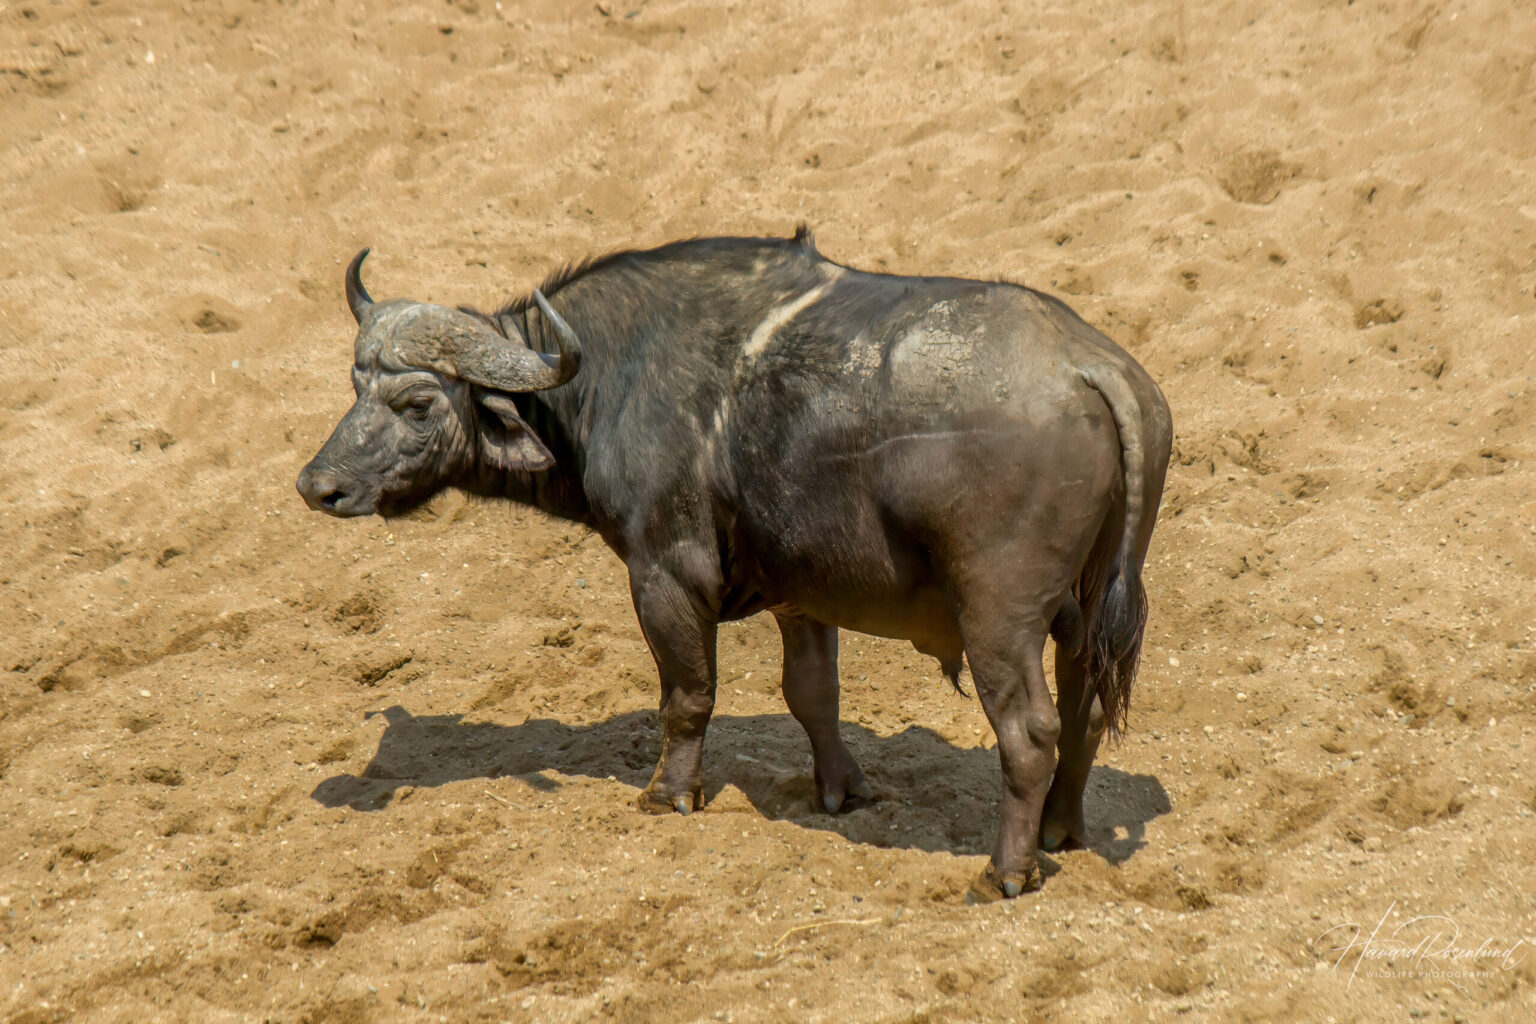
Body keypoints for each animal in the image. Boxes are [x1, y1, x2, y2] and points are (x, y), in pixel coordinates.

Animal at [296, 228, 1172, 898]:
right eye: (354, 386)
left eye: (417, 404)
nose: (318, 485)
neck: (612, 378)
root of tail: (1090, 366)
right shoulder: (802, 593)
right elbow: (812, 694)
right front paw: (840, 791)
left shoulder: (664, 575)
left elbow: (687, 696)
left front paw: (667, 793)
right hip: (1089, 608)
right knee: (1086, 709)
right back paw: (1061, 832)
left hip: (1000, 619)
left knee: (1030, 731)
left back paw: (1005, 871)